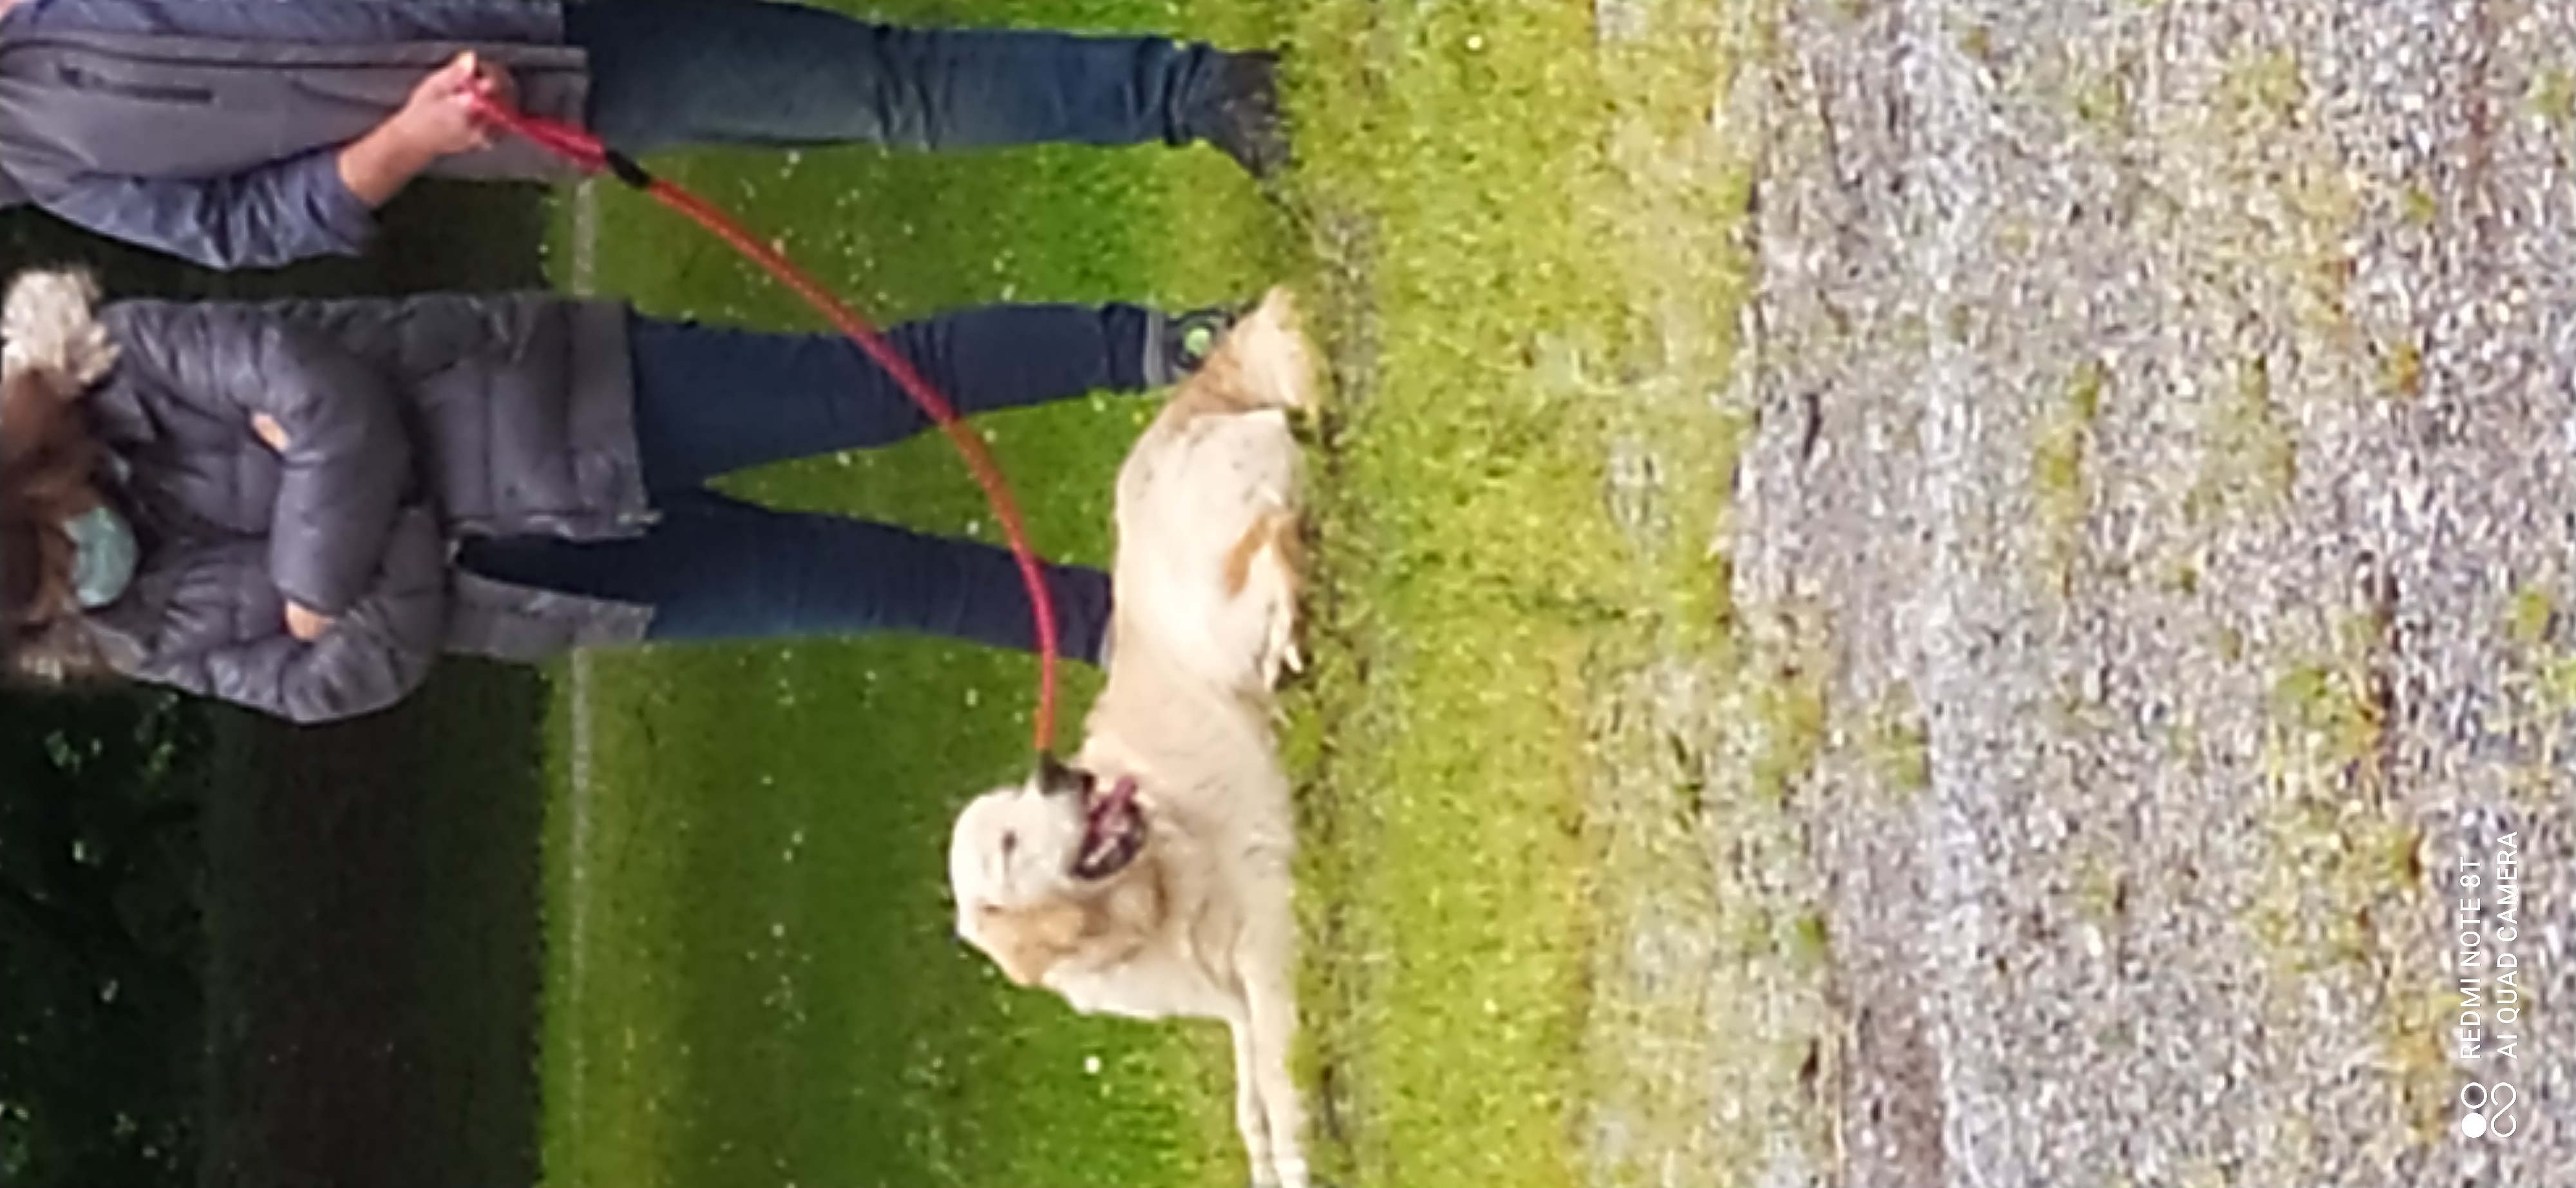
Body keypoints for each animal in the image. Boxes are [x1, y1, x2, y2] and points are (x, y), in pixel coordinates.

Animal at [948, 290, 1319, 1185]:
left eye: (1019, 799)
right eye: (1008, 842)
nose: (1057, 771)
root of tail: (1189, 399)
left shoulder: (1264, 925)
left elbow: (1277, 1085)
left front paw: (1299, 1155)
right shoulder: (1226, 993)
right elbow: (1250, 1103)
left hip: (1203, 613)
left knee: (1269, 540)